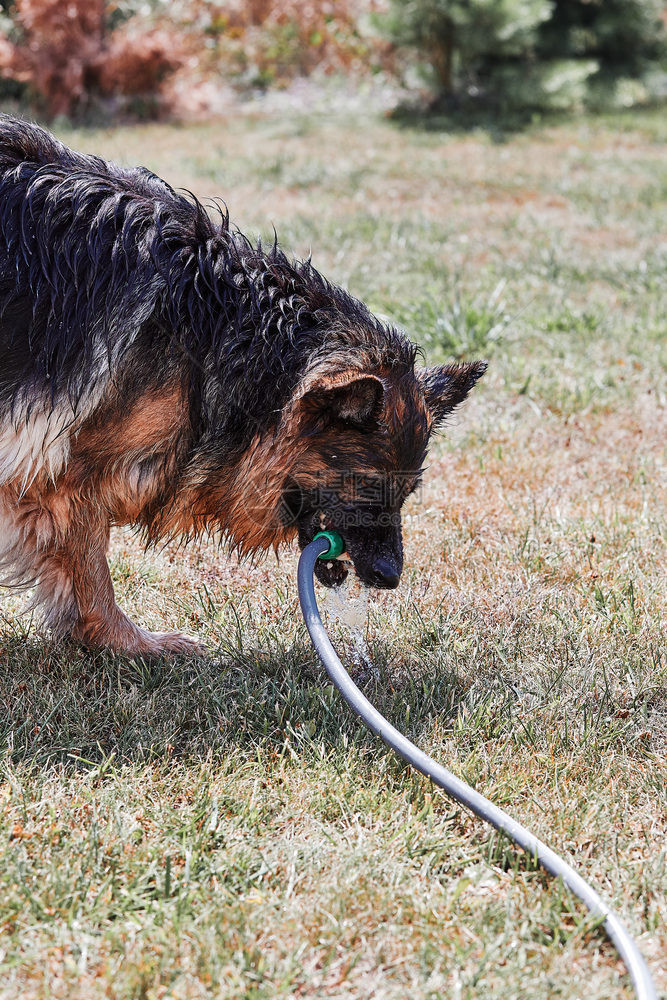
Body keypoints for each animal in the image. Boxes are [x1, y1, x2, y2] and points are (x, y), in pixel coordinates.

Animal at [0, 115, 486, 656]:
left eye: (407, 491)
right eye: (365, 484)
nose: (390, 576)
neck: (220, 335)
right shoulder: (72, 472)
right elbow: (90, 568)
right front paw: (131, 641)